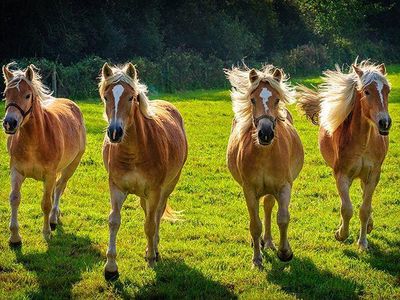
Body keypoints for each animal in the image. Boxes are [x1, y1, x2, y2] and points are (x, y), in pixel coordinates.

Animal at [1, 63, 85, 244]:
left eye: (27, 95)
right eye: (5, 95)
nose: (10, 123)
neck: (36, 140)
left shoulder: (49, 175)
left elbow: (46, 203)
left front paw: (46, 232)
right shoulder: (16, 171)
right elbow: (14, 199)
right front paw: (15, 237)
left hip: (71, 166)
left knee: (59, 188)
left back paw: (53, 219)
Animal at [99, 62, 188, 280]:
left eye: (131, 97)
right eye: (106, 97)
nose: (115, 132)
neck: (134, 151)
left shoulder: (155, 191)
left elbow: (150, 224)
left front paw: (151, 259)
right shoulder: (116, 188)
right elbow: (114, 221)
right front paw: (111, 268)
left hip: (167, 187)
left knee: (156, 216)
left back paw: (154, 250)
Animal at [225, 65, 304, 268]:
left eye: (277, 100)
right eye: (252, 100)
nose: (265, 133)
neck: (264, 155)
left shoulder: (284, 186)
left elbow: (283, 218)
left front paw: (285, 252)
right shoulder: (249, 189)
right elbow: (255, 224)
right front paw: (257, 259)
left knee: (268, 208)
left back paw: (268, 241)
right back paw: (258, 243)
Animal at [298, 59, 392, 250]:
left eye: (387, 90)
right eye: (366, 91)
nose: (384, 123)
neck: (363, 142)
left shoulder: (373, 175)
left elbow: (364, 209)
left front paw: (362, 243)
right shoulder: (341, 175)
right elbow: (346, 208)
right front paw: (341, 234)